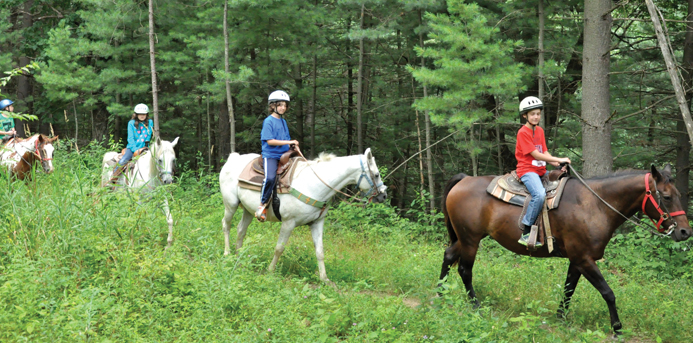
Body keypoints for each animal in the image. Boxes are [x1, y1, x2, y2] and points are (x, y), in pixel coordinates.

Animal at [219, 148, 386, 282]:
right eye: (377, 175)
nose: (383, 196)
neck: (314, 185)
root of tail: (233, 158)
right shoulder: (288, 223)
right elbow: (279, 248)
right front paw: (270, 271)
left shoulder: (317, 223)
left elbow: (320, 251)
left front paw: (324, 279)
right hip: (231, 204)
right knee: (226, 225)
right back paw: (227, 253)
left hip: (248, 210)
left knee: (241, 230)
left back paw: (239, 257)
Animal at [440, 165, 688, 334]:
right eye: (666, 197)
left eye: (679, 194)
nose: (686, 232)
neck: (594, 205)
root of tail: (464, 180)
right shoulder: (585, 259)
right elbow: (608, 293)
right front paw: (617, 328)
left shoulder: (577, 260)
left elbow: (569, 289)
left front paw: (560, 317)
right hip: (470, 239)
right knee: (464, 270)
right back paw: (475, 306)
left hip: (464, 238)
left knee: (448, 256)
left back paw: (440, 294)